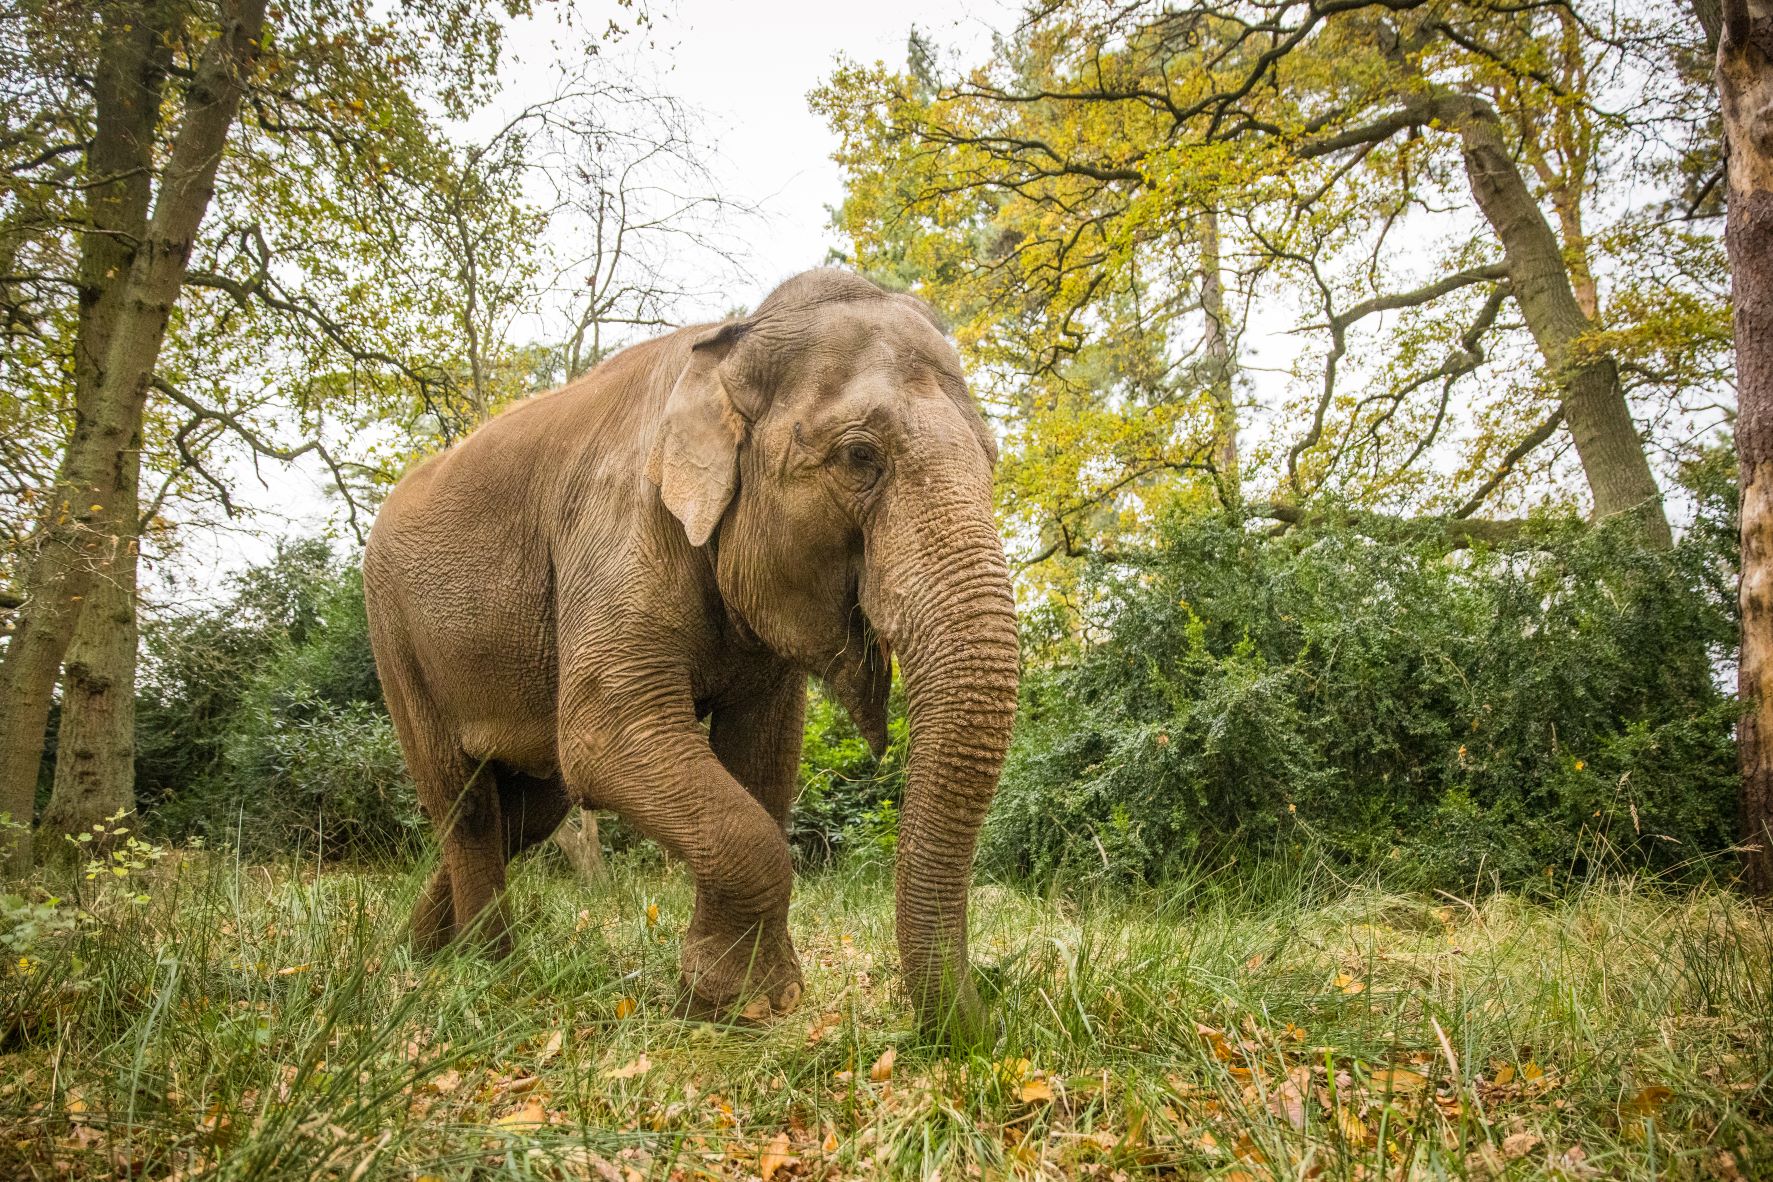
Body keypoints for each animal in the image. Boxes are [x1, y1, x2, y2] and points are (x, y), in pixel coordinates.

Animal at [359, 267, 1021, 1034]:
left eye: (993, 461)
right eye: (861, 457)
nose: (976, 1029)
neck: (729, 346)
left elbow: (765, 752)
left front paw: (744, 1002)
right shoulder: (616, 526)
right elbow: (605, 737)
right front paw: (734, 1003)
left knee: (524, 814)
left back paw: (419, 953)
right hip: (395, 637)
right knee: (465, 805)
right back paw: (490, 969)